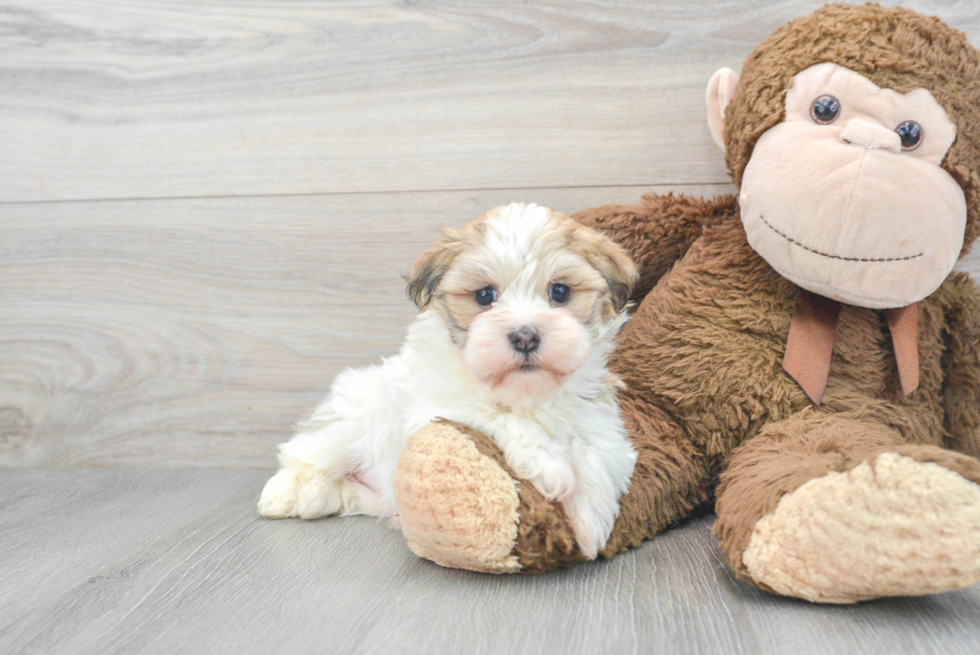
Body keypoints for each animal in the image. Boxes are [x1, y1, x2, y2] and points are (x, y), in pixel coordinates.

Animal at [260, 201, 640, 560]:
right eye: (485, 296)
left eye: (560, 292)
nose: (525, 336)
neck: (525, 391)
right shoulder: (438, 406)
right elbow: (498, 417)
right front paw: (551, 465)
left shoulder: (596, 414)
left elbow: (599, 452)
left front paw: (592, 520)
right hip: (349, 422)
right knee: (305, 454)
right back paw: (283, 495)